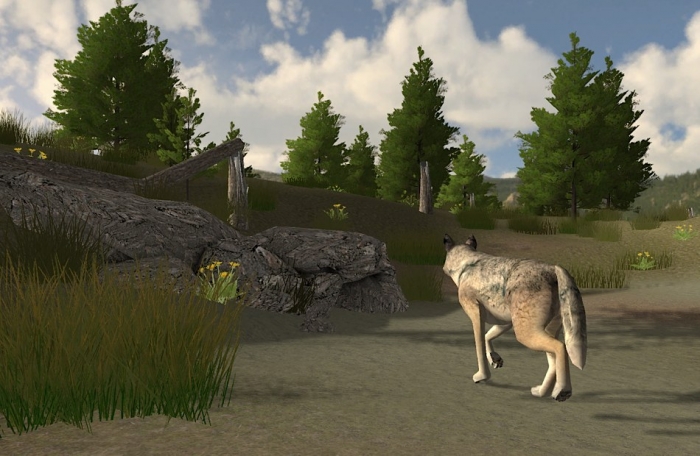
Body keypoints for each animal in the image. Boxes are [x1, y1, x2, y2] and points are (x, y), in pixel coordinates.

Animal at [443, 233, 587, 402]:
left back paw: (562, 390)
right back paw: (541, 392)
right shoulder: (505, 322)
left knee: (560, 347)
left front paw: (482, 376)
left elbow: (479, 345)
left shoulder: (476, 316)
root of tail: (552, 268)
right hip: (545, 331)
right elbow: (487, 337)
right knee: (553, 360)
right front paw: (495, 359)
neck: (466, 264)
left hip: (525, 334)